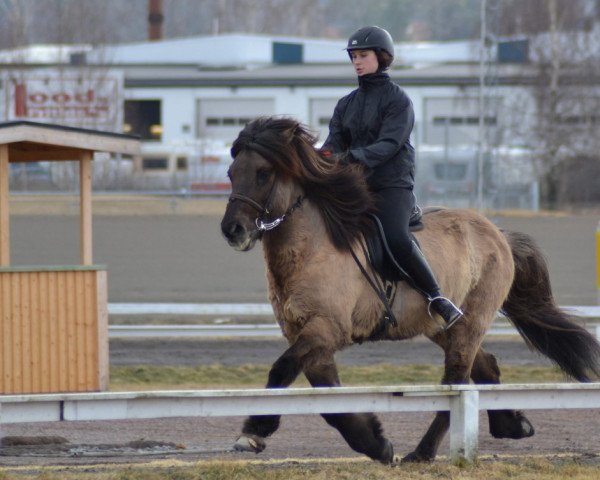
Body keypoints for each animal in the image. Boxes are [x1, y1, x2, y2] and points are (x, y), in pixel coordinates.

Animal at [220, 114, 600, 464]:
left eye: (263, 173)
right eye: (231, 172)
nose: (232, 230)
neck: (311, 248)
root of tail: (498, 234)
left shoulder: (326, 329)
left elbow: (282, 370)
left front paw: (254, 431)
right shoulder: (307, 335)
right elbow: (330, 401)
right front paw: (376, 444)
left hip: (471, 321)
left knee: (456, 384)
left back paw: (423, 452)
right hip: (443, 327)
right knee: (485, 368)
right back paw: (512, 424)